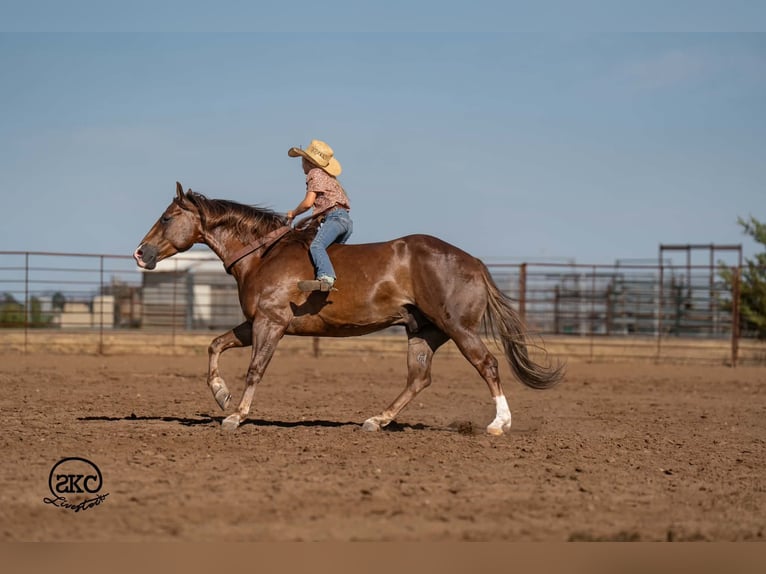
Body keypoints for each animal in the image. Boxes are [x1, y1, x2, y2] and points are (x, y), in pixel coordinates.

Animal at [133, 182, 564, 434]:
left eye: (167, 217)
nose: (140, 253)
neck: (263, 254)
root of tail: (474, 263)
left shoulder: (271, 323)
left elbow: (255, 369)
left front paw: (235, 415)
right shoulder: (254, 322)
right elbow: (215, 345)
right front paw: (222, 397)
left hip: (458, 327)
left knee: (487, 364)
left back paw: (499, 423)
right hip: (423, 331)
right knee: (418, 378)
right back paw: (377, 420)